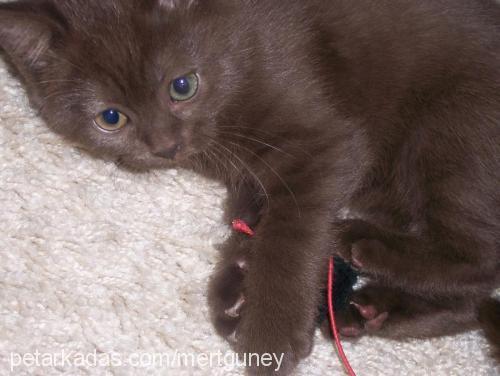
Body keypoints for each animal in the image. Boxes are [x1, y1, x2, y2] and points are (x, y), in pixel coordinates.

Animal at [0, 1, 498, 374]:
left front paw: (271, 334)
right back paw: (378, 308)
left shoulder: (328, 141)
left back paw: (366, 242)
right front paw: (237, 286)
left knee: (481, 258)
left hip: (451, 130)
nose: (165, 147)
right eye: (110, 118)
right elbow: (250, 211)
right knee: (475, 294)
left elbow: (288, 233)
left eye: (182, 86)